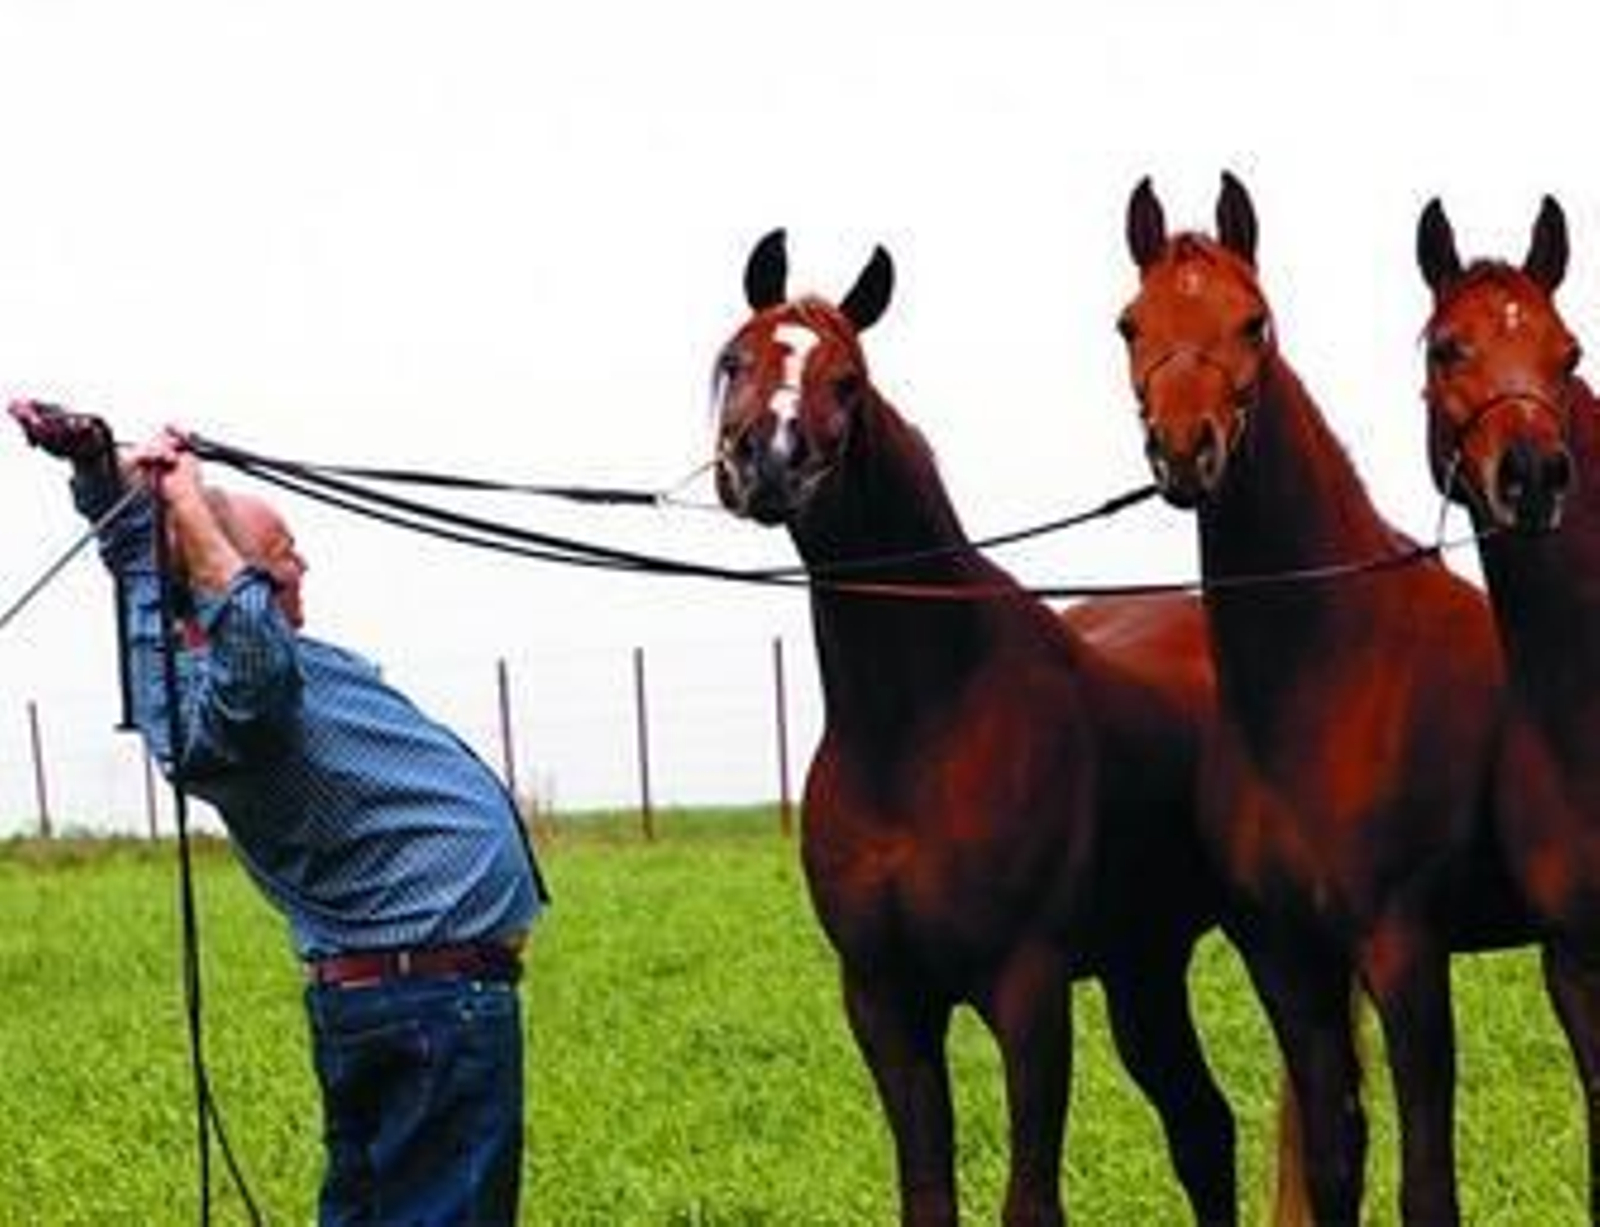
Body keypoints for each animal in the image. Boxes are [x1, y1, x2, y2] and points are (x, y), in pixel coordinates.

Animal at [713, 229, 1237, 1225]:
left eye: (848, 379)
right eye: (733, 359)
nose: (768, 460)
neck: (916, 728)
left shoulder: (1027, 990)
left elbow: (1030, 1201)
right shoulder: (885, 1000)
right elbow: (927, 1194)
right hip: (1144, 966)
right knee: (1203, 1127)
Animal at [1116, 173, 1528, 1224]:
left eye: (1253, 320)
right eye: (1130, 322)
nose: (1188, 451)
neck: (1328, 675)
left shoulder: (1404, 949)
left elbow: (1426, 1180)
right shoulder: (1286, 957)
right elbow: (1336, 1157)